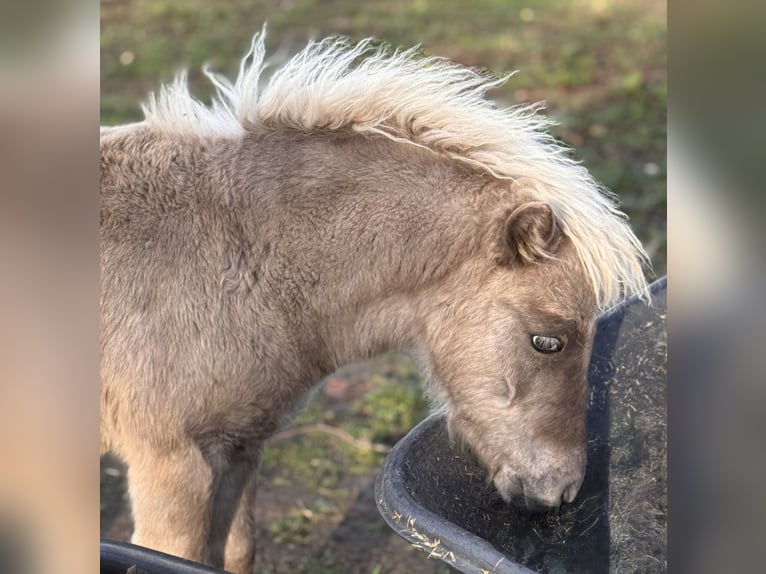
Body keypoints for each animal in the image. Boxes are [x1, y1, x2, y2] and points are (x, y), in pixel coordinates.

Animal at [100, 32, 649, 573]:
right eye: (547, 341)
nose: (561, 490)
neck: (234, 252)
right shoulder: (175, 467)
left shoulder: (239, 453)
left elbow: (235, 553)